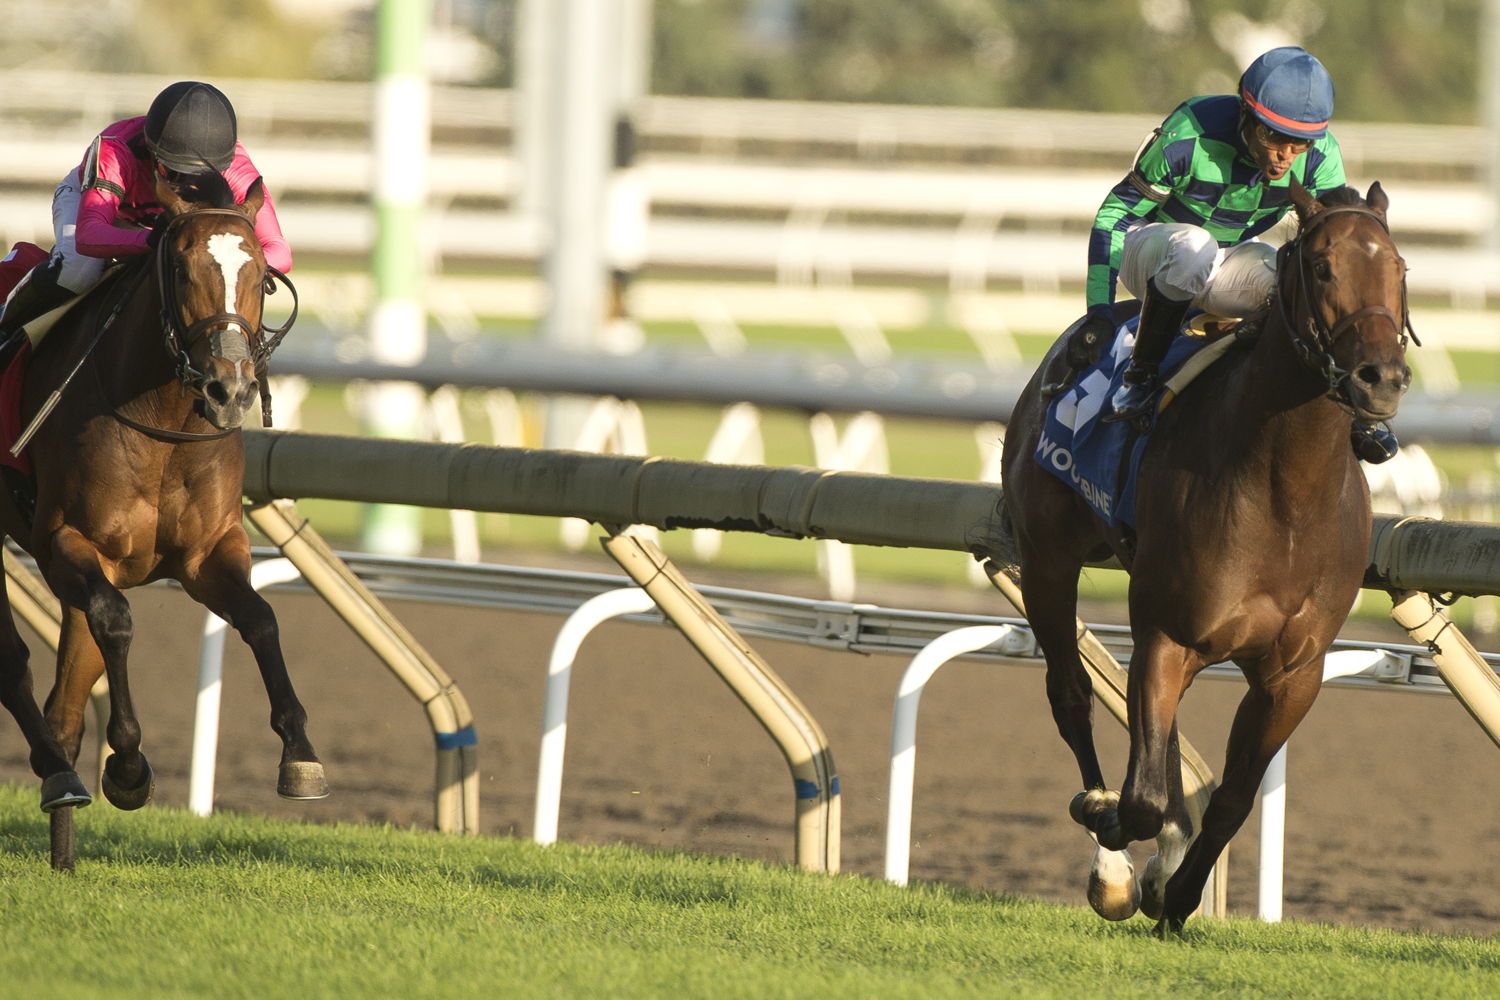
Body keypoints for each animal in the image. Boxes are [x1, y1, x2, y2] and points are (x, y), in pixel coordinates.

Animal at [0, 172, 325, 863]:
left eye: (261, 273)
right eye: (179, 269)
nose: (229, 390)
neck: (167, 424)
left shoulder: (208, 554)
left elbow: (261, 619)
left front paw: (300, 754)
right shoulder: (65, 543)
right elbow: (117, 621)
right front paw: (126, 765)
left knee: (65, 704)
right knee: (15, 664)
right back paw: (60, 775)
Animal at [1002, 182, 1410, 941]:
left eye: (1399, 270)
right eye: (1322, 268)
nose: (1381, 380)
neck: (1285, 492)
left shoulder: (1292, 673)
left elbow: (1229, 798)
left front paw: (1177, 896)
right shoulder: (1169, 633)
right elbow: (1138, 798)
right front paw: (1118, 843)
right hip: (1047, 561)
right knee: (1071, 697)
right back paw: (1108, 854)